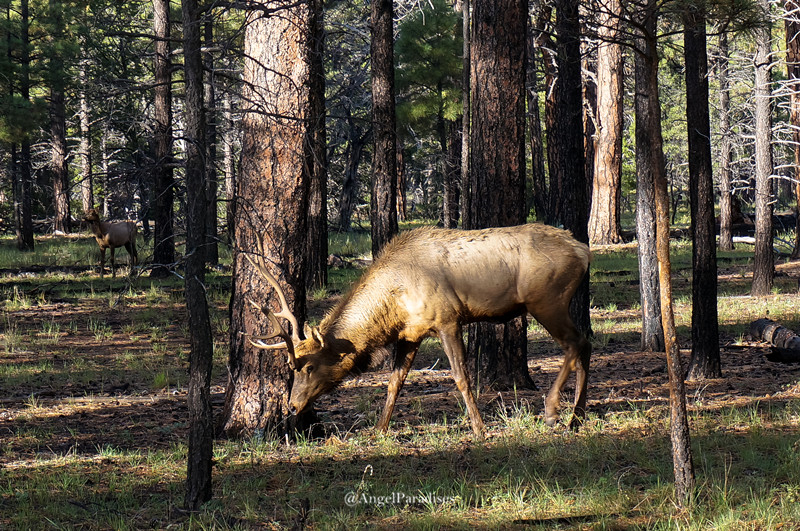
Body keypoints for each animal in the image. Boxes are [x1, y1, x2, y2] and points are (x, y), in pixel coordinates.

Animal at [247, 222, 592, 438]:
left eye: (308, 367)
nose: (292, 405)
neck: (393, 303)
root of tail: (584, 251)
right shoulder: (409, 334)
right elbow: (394, 383)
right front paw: (379, 429)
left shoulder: (447, 319)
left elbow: (461, 377)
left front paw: (479, 428)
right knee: (585, 343)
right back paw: (577, 415)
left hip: (546, 300)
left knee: (574, 343)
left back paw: (553, 412)